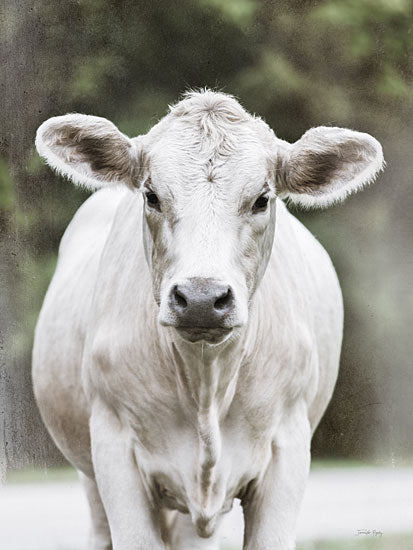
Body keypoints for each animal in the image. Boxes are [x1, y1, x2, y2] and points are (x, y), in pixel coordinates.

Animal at [32, 91, 384, 550]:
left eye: (262, 199)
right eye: (151, 196)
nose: (201, 298)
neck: (205, 384)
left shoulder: (287, 450)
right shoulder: (113, 451)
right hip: (91, 476)